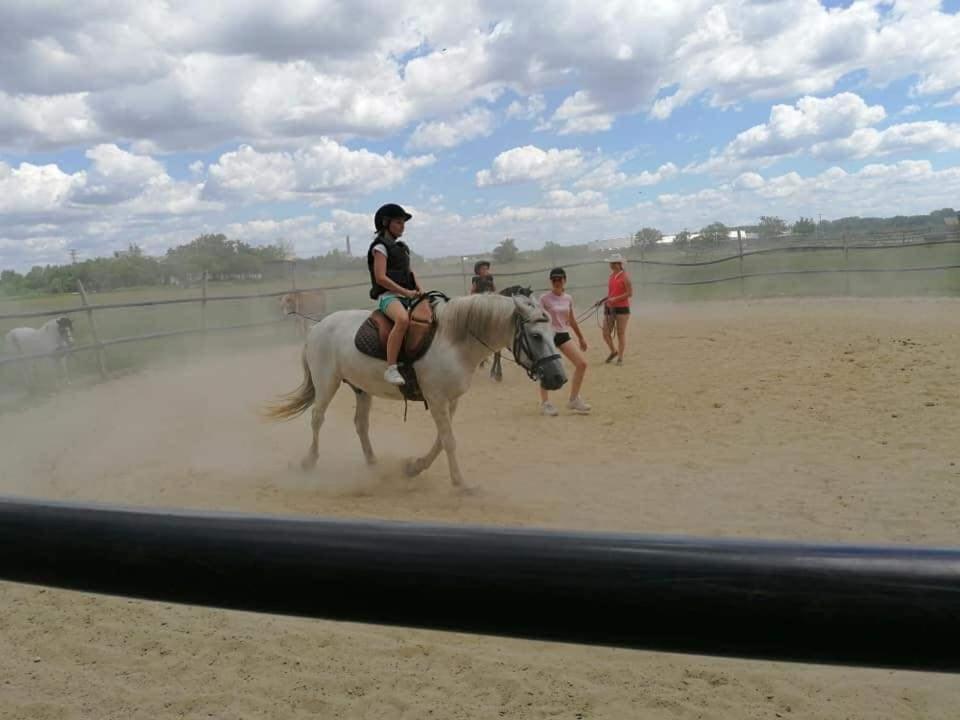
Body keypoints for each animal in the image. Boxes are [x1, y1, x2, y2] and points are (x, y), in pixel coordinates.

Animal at [262, 292, 568, 490]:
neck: (453, 340)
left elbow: (441, 440)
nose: (559, 377)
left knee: (360, 424)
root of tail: (318, 327)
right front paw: (461, 483)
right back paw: (308, 462)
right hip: (327, 383)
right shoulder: (436, 399)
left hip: (361, 389)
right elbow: (449, 441)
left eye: (555, 336)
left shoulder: (449, 400)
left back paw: (372, 462)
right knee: (317, 419)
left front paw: (414, 467)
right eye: (536, 336)